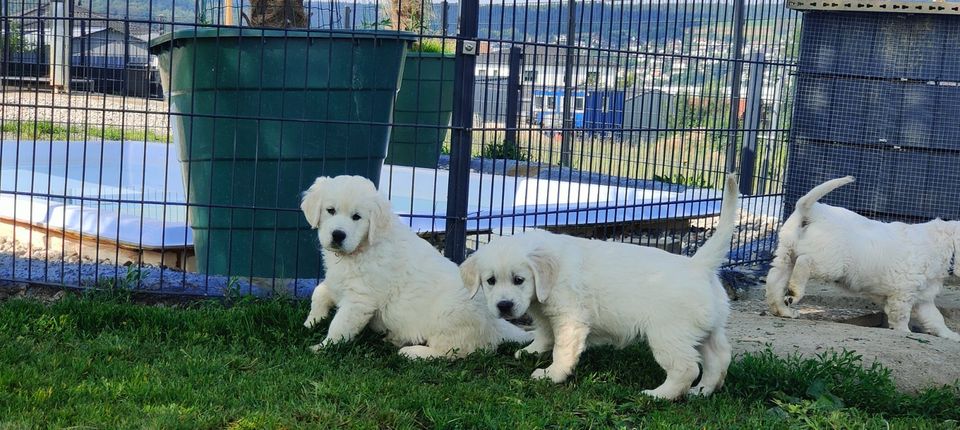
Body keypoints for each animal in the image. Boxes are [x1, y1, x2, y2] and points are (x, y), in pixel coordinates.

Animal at [300, 175, 532, 360]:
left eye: (357, 217)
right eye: (330, 210)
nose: (338, 235)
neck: (359, 250)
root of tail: (495, 323)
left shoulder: (360, 299)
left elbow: (340, 326)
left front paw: (321, 347)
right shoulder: (337, 280)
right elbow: (319, 291)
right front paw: (312, 320)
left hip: (448, 316)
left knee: (453, 351)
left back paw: (414, 352)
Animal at [462, 172, 740, 400]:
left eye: (519, 280)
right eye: (490, 281)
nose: (504, 306)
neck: (548, 279)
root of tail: (699, 265)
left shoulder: (570, 318)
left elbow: (562, 348)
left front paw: (551, 375)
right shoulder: (546, 314)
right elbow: (544, 333)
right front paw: (532, 351)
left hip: (668, 333)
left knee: (686, 368)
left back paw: (659, 395)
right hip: (707, 329)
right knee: (719, 359)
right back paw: (702, 390)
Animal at [764, 176, 960, 342]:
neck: (948, 247)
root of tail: (811, 211)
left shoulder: (923, 297)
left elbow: (936, 318)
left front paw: (951, 335)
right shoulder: (903, 292)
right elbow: (901, 316)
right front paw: (904, 332)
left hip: (786, 253)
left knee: (775, 281)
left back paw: (784, 310)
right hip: (830, 261)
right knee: (805, 263)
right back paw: (794, 293)